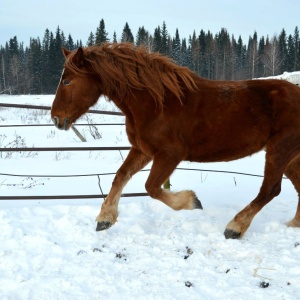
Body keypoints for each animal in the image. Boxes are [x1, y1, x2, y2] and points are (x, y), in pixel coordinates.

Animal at [51, 42, 300, 239]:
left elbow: (151, 187)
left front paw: (192, 201)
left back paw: (235, 227)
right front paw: (105, 219)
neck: (157, 103)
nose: (55, 119)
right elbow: (120, 176)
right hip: (290, 156)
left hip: (280, 150)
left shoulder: (169, 155)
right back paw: (293, 225)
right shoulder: (142, 150)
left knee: (270, 189)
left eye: (67, 81)